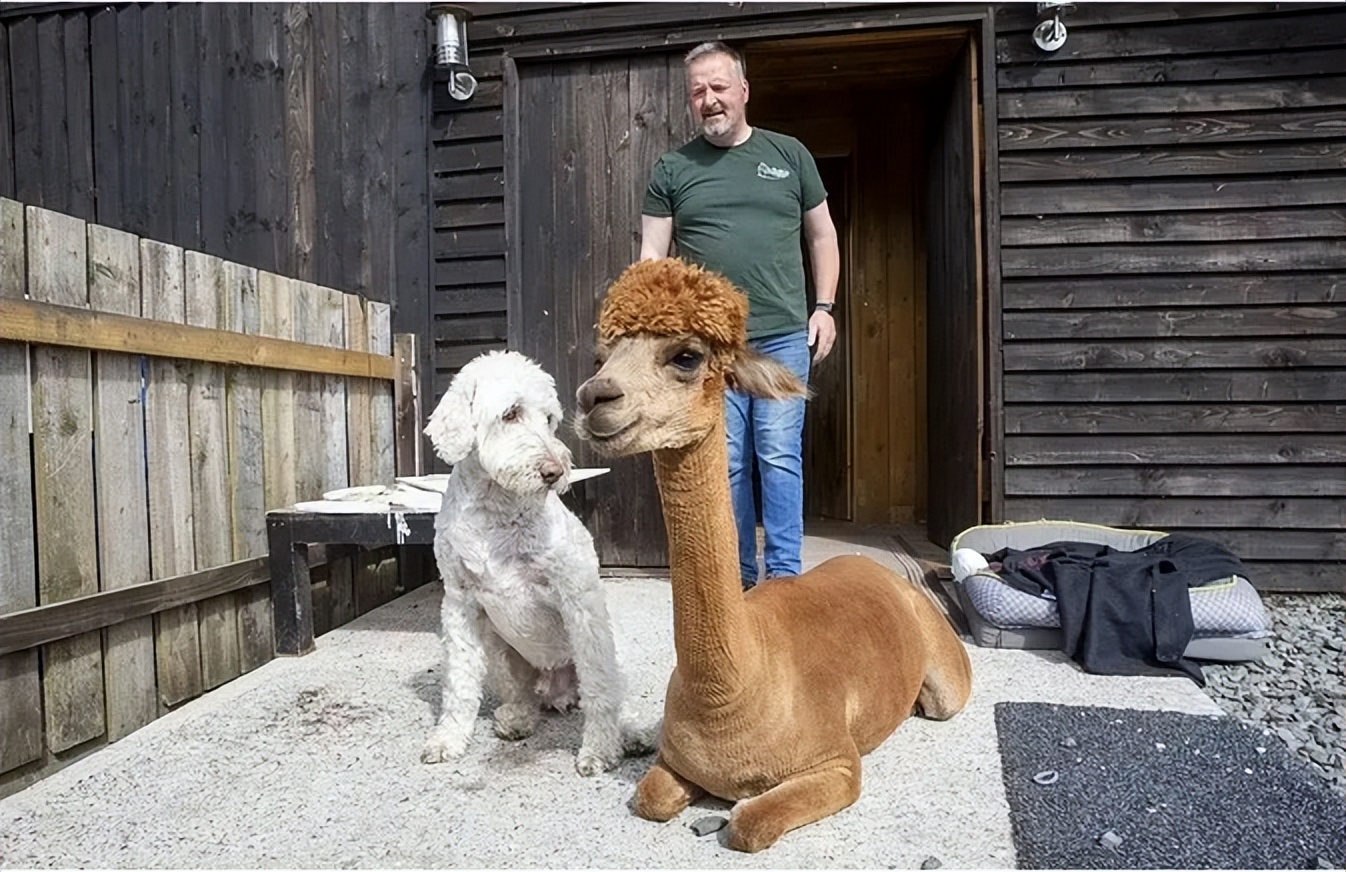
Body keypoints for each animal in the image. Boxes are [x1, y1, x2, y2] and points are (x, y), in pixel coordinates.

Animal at [419, 349, 624, 775]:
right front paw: (448, 739)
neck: (496, 510)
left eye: (549, 419)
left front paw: (599, 749)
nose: (555, 472)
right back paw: (517, 719)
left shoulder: (579, 602)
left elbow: (599, 688)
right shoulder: (459, 603)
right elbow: (459, 683)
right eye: (511, 413)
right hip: (500, 650)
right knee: (525, 697)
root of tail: (557, 688)